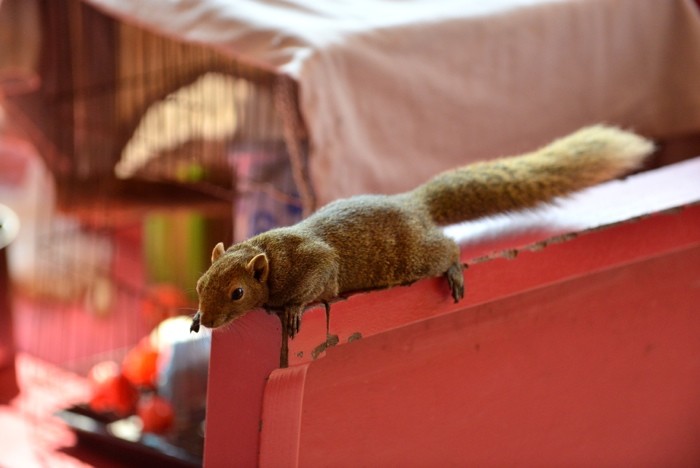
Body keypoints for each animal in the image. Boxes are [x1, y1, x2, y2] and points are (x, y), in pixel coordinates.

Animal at [189, 125, 652, 362]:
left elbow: (316, 280)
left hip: (414, 256)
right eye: (199, 284)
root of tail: (414, 204)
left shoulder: (315, 260)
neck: (268, 249)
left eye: (237, 293)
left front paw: (292, 310)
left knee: (446, 247)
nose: (208, 319)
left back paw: (455, 269)